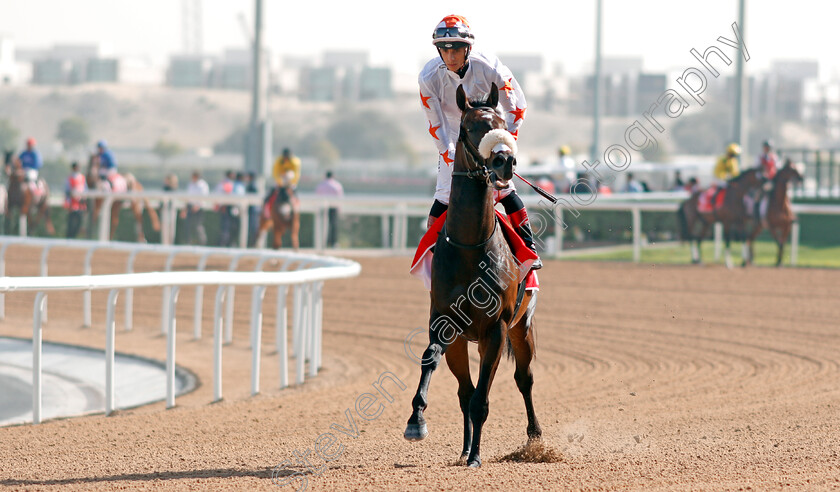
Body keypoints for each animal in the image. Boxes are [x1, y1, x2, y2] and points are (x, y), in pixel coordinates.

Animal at [404, 82, 540, 468]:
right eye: (468, 127)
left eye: (503, 124)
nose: (504, 160)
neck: (468, 247)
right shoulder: (443, 320)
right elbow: (430, 357)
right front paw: (416, 421)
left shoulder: (496, 329)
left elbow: (484, 398)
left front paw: (478, 457)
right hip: (463, 342)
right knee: (464, 390)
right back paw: (465, 448)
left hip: (522, 328)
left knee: (523, 379)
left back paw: (534, 439)